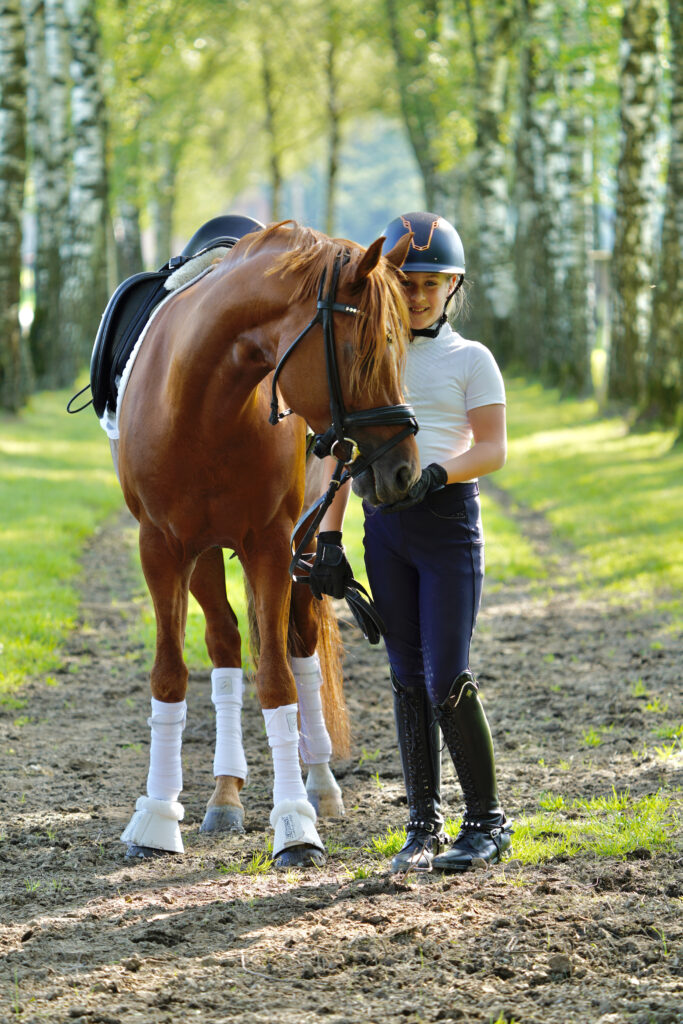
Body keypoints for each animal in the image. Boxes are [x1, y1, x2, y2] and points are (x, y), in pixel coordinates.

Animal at [113, 220, 417, 868]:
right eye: (361, 350)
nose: (404, 469)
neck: (203, 404)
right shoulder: (161, 548)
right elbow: (170, 675)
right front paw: (156, 819)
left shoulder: (274, 547)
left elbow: (279, 680)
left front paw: (296, 825)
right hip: (204, 555)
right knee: (226, 647)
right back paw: (225, 794)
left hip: (300, 550)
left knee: (298, 648)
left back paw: (319, 786)